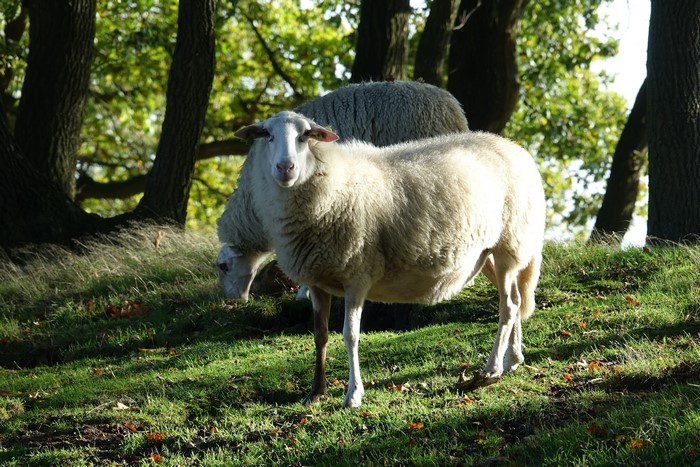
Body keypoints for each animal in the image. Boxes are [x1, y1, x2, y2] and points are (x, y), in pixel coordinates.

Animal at [236, 111, 546, 408]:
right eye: (267, 135)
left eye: (305, 136)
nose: (285, 168)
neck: (332, 181)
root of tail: (515, 149)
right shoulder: (317, 280)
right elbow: (320, 335)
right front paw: (315, 393)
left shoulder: (357, 276)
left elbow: (350, 335)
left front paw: (353, 395)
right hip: (490, 252)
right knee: (516, 299)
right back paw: (513, 359)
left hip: (509, 243)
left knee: (508, 306)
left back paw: (492, 369)